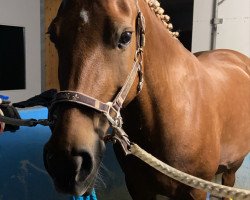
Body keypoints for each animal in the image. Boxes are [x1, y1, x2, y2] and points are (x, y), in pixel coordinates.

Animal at [44, 0, 250, 198]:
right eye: (53, 35)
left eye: (126, 36)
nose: (66, 161)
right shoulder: (138, 187)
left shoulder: (196, 190)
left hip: (231, 171)